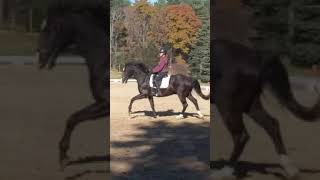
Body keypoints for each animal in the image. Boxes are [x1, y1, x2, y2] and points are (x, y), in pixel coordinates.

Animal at [37, 0, 108, 169]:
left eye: (54, 28)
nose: (40, 56)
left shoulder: (105, 104)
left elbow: (73, 118)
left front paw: (63, 156)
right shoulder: (101, 103)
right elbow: (73, 118)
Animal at [212, 38, 320, 178]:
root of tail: (256, 57)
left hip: (227, 104)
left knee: (241, 135)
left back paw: (225, 171)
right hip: (249, 105)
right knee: (271, 125)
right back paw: (290, 169)